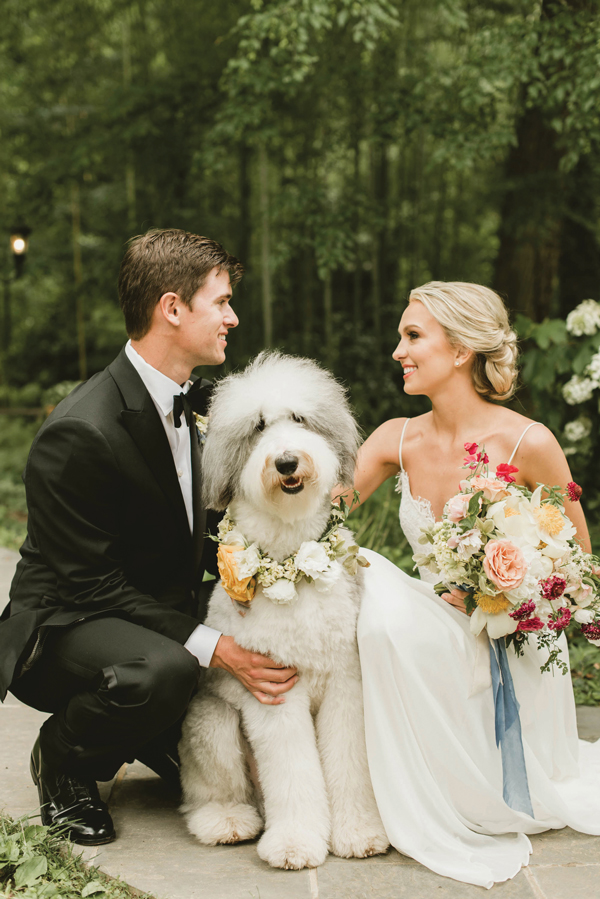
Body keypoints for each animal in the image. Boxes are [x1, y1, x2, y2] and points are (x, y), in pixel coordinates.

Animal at [178, 354, 386, 872]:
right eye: (257, 427)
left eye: (299, 418)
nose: (287, 461)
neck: (295, 560)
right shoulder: (274, 692)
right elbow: (292, 771)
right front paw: (294, 844)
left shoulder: (347, 683)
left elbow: (350, 762)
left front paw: (359, 833)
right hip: (210, 724)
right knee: (210, 794)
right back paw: (227, 822)